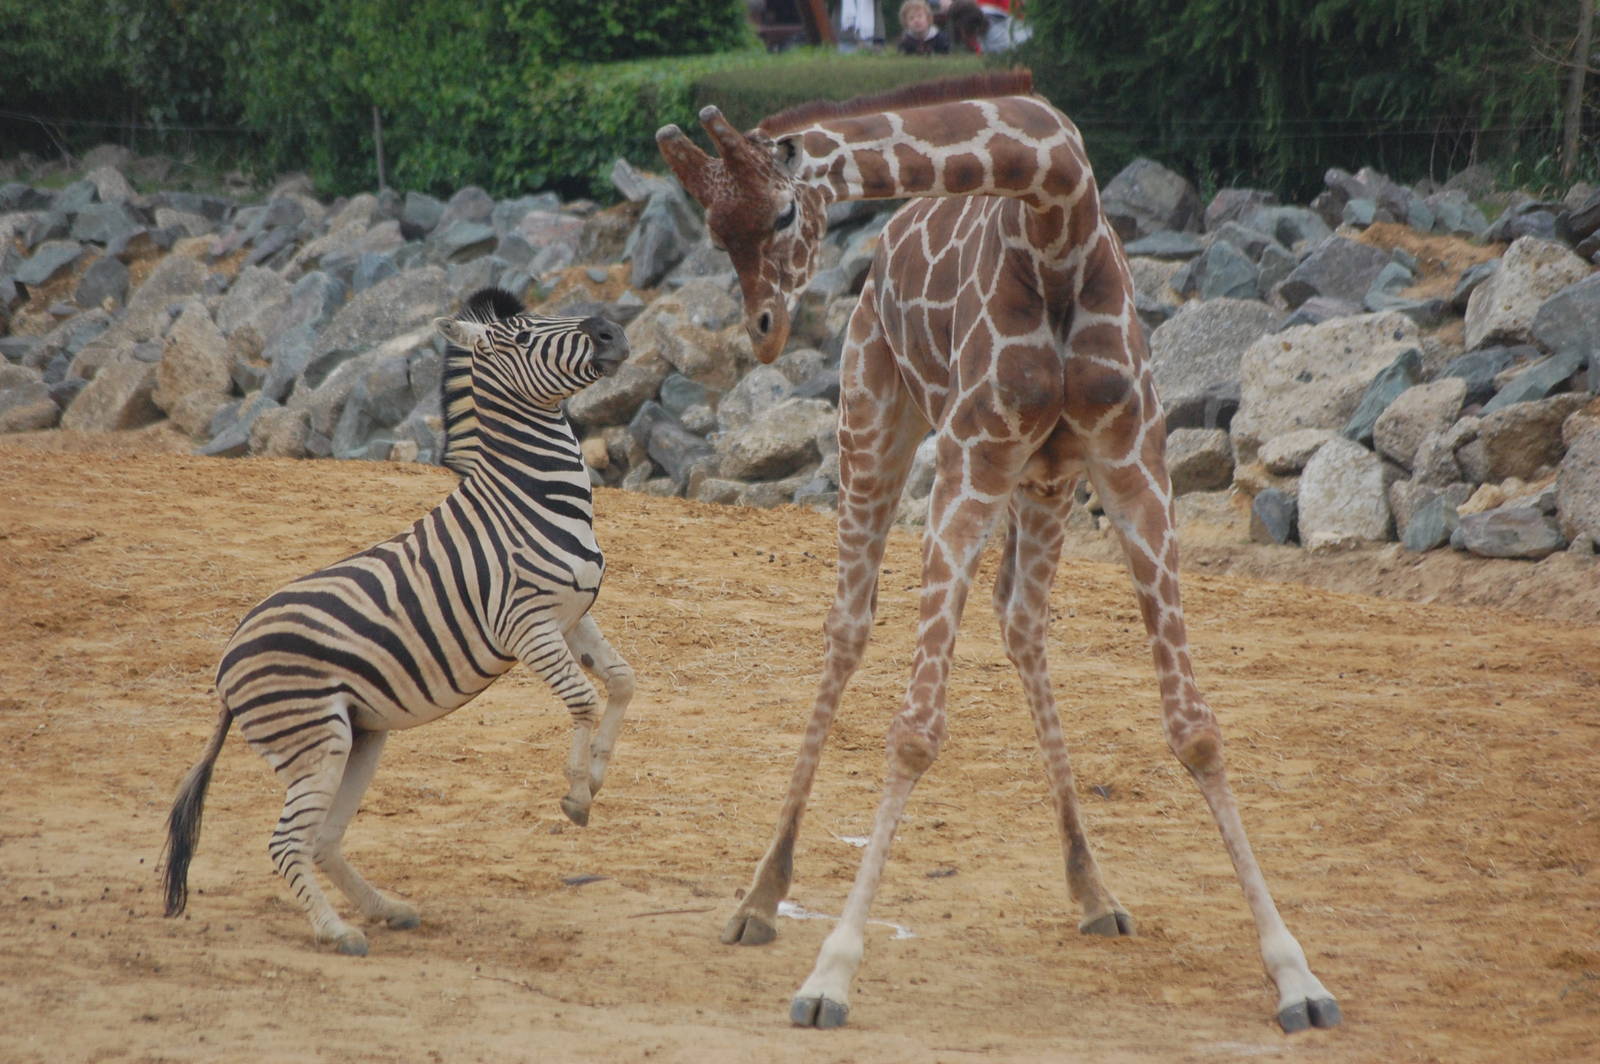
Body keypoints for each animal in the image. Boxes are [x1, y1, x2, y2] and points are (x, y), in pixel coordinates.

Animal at [162, 287, 635, 956]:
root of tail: (227, 662)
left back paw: (386, 909)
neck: (529, 496)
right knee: (286, 843)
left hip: (359, 736)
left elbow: (621, 682)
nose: (612, 333)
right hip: (316, 738)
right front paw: (573, 794)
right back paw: (337, 933)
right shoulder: (525, 624)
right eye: (521, 337)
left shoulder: (571, 617)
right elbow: (583, 700)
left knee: (321, 840)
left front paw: (595, 778)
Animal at [656, 71, 1340, 1034]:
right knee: (848, 628)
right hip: (875, 429)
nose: (761, 328)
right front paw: (832, 973)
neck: (1056, 214)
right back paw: (759, 897)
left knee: (1020, 621)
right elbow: (913, 732)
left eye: (784, 212)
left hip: (1046, 484)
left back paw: (1094, 891)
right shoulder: (971, 464)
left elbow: (1197, 730)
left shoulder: (1134, 470)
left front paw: (1295, 973)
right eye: (717, 231)